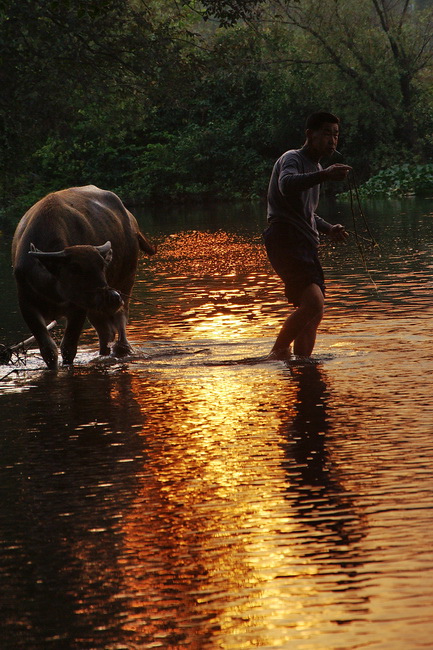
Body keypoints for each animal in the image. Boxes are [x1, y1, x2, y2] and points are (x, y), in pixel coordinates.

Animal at [11, 185, 157, 368]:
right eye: (75, 268)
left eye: (102, 265)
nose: (113, 297)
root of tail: (132, 222)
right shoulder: (26, 305)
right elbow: (48, 350)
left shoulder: (78, 307)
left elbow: (68, 347)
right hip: (96, 304)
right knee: (105, 331)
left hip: (125, 281)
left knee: (120, 322)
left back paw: (121, 349)